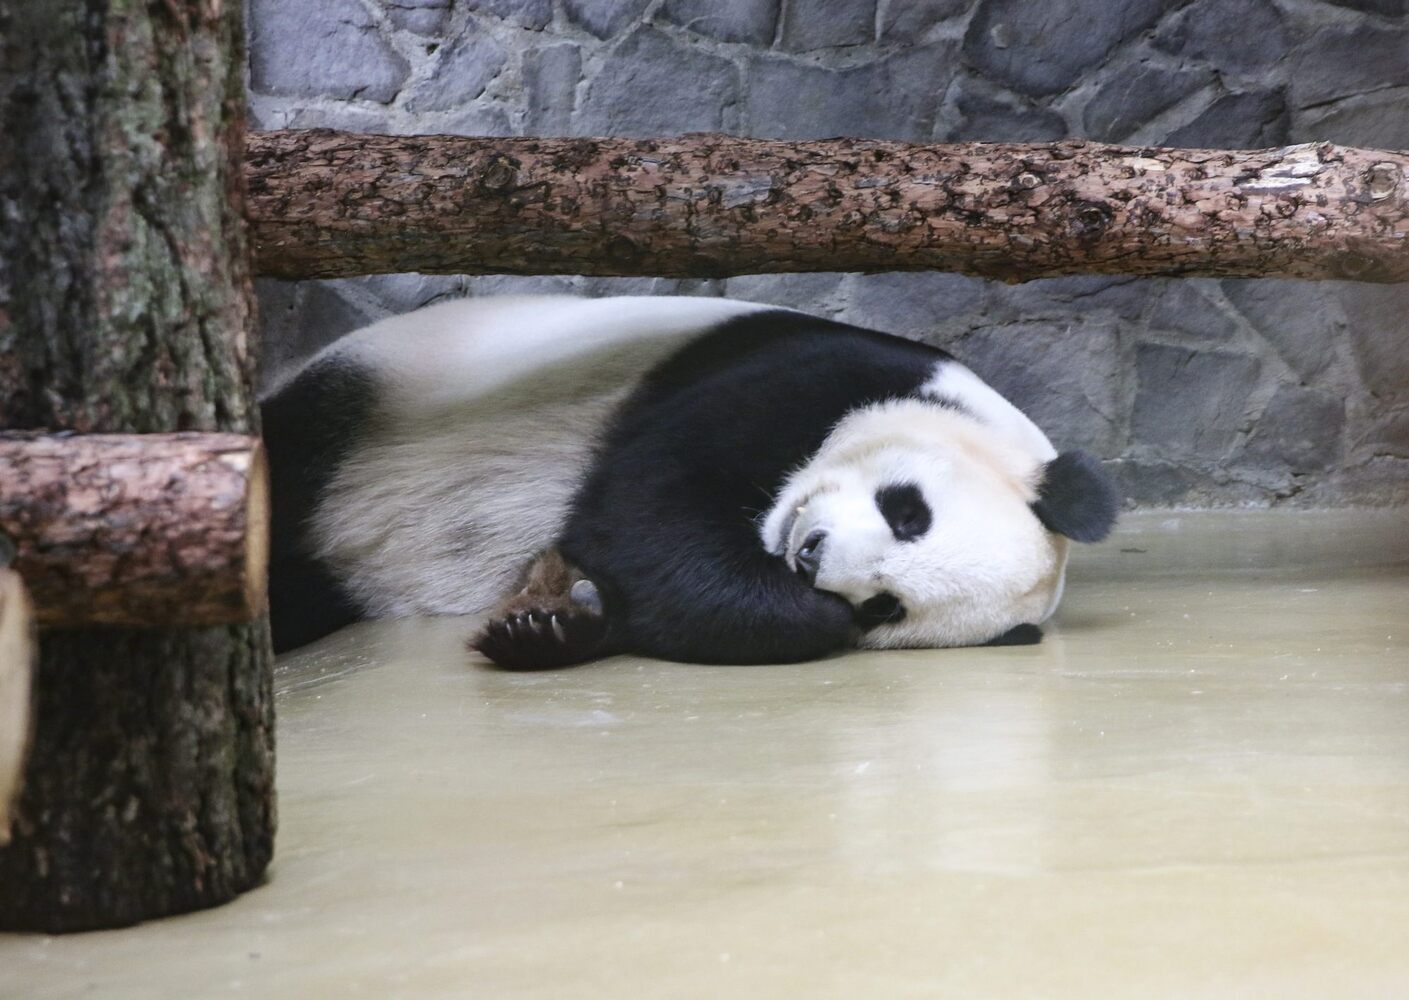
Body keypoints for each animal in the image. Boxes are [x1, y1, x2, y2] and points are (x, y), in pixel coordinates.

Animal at [261, 294, 1119, 667]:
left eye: (886, 606)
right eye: (907, 510)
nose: (808, 555)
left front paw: (559, 623)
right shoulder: (806, 375)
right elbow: (647, 504)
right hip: (364, 400)